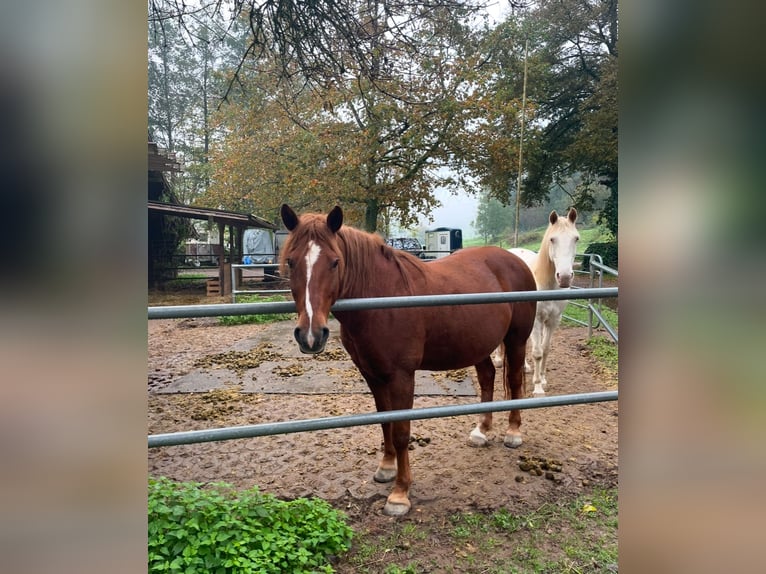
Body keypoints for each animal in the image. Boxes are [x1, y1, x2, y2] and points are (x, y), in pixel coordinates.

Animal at [280, 206, 536, 516]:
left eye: (334, 262)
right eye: (291, 262)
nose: (310, 335)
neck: (381, 298)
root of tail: (514, 259)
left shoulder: (402, 376)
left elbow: (401, 431)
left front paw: (400, 493)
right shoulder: (372, 374)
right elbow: (385, 422)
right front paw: (386, 468)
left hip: (516, 340)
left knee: (514, 380)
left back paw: (513, 433)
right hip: (478, 344)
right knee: (488, 377)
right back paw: (481, 431)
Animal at [496, 209, 580, 398]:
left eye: (576, 238)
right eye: (552, 239)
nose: (564, 277)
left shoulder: (554, 320)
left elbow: (545, 349)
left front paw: (542, 378)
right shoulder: (536, 320)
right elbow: (537, 353)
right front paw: (538, 387)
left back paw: (525, 367)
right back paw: (497, 360)